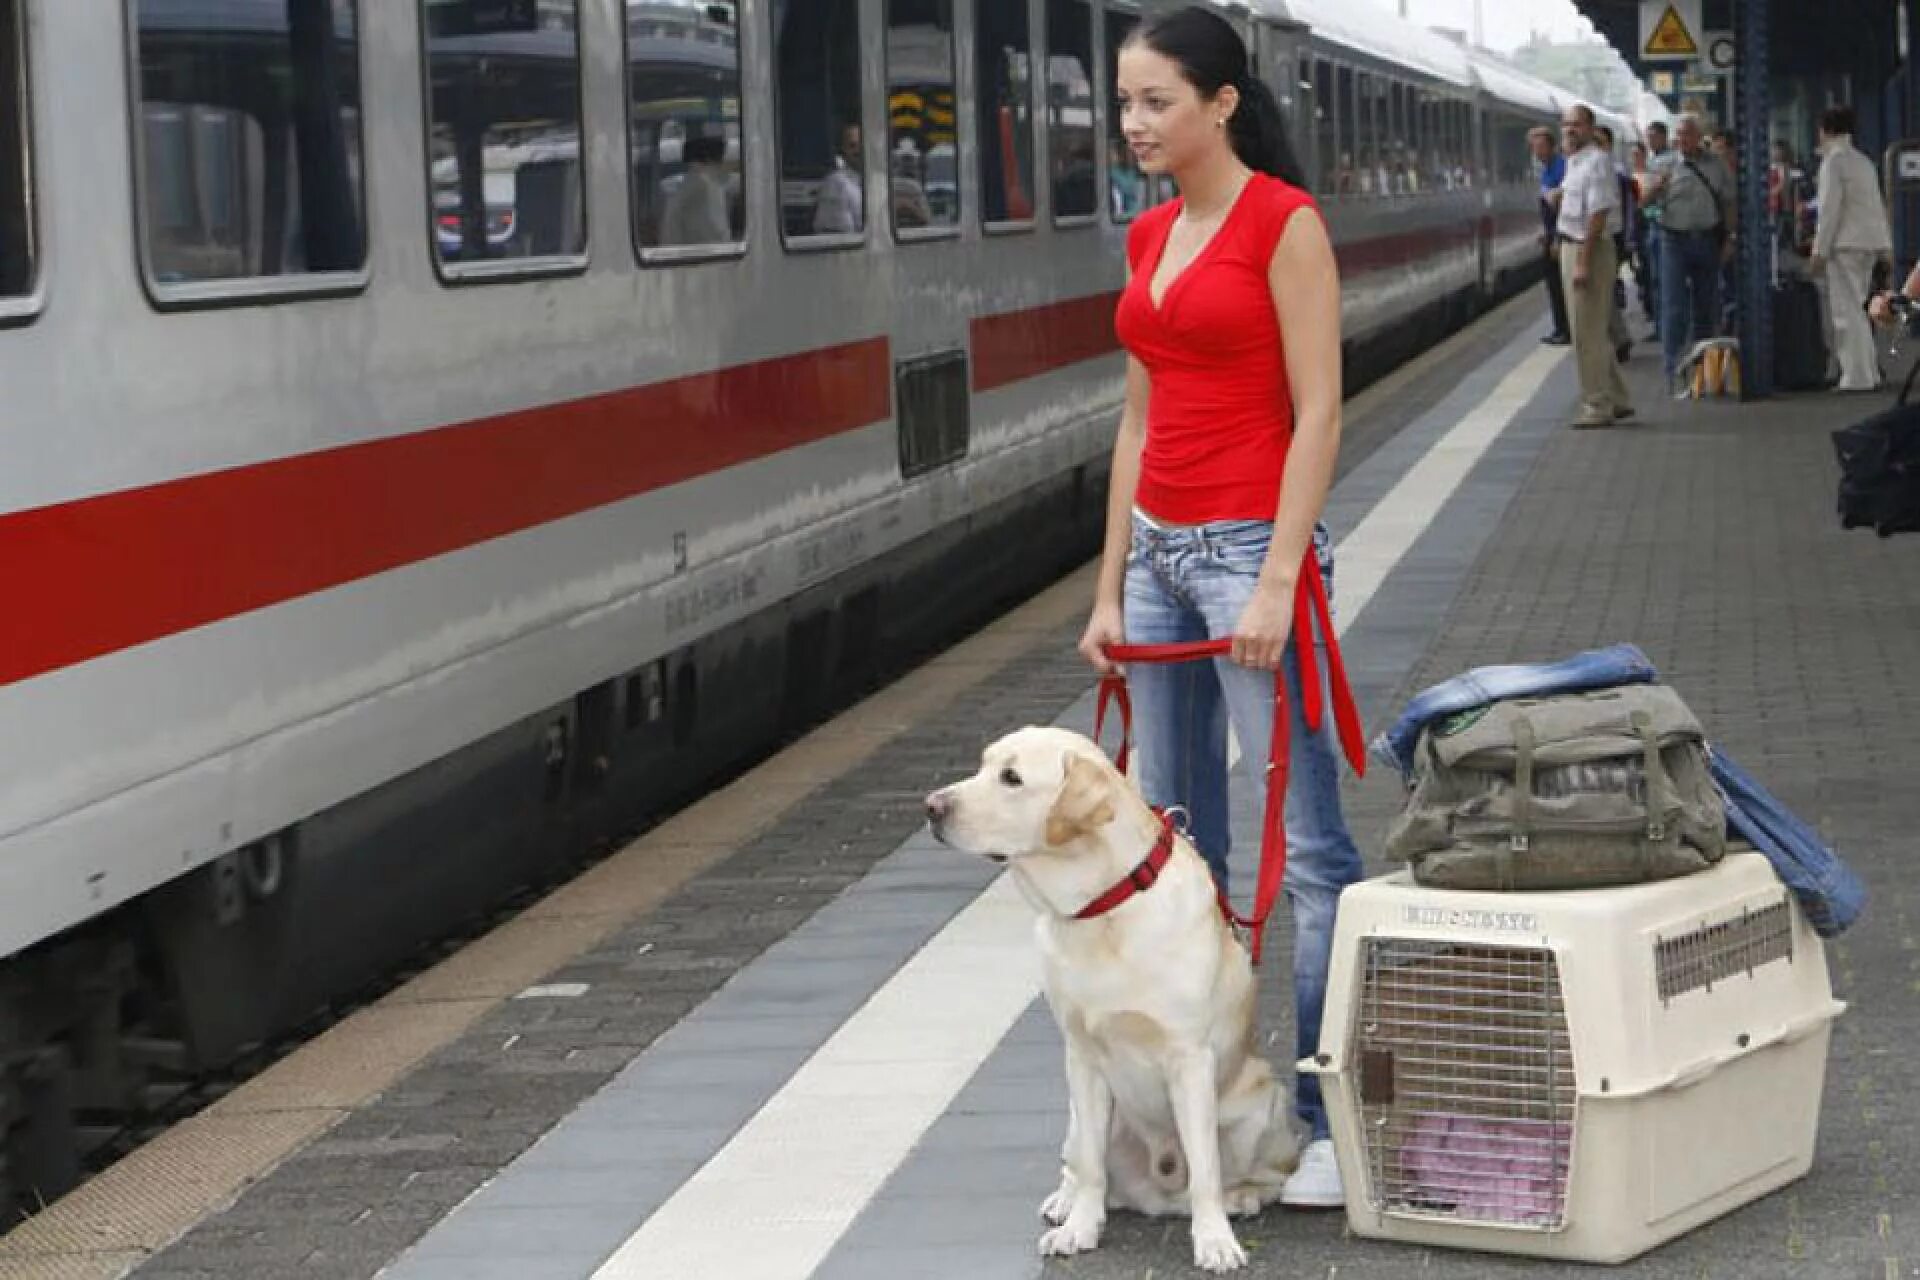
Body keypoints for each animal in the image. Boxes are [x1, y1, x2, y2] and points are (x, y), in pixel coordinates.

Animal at [921, 725, 1297, 1266]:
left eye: (1011, 778)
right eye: (983, 765)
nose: (931, 806)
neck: (1103, 908)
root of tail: (1155, 1195)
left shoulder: (1190, 1058)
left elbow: (1205, 1169)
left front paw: (1214, 1240)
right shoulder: (1081, 1056)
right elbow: (1092, 1168)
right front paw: (1080, 1228)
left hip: (1263, 1104)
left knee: (1254, 1176)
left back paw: (1240, 1198)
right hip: (1078, 1117)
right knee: (1080, 1162)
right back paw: (1066, 1201)